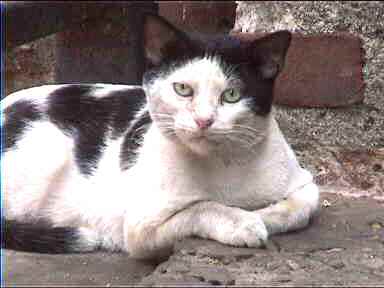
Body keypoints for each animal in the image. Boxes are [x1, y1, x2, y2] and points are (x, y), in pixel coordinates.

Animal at [0, 13, 318, 258]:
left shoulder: (305, 183)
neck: (224, 162)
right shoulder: (141, 227)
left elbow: (302, 207)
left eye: (231, 95)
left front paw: (262, 215)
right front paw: (243, 221)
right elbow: (201, 207)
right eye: (182, 89)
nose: (204, 120)